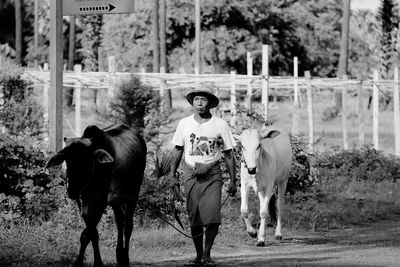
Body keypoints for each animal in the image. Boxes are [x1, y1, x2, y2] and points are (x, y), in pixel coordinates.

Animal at [45, 124, 147, 266]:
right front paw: (81, 262)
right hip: (116, 201)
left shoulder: (100, 201)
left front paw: (97, 263)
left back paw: (125, 258)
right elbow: (90, 233)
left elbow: (90, 232)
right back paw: (119, 255)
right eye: (67, 159)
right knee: (119, 222)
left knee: (128, 226)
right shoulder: (83, 203)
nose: (72, 189)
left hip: (133, 194)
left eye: (86, 159)